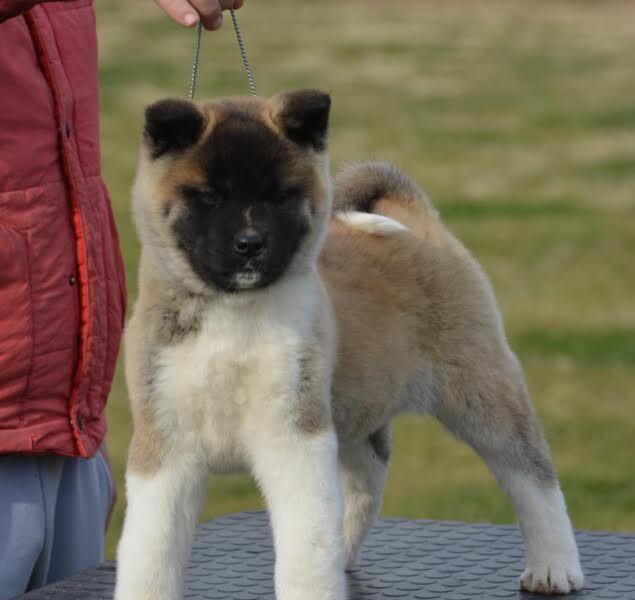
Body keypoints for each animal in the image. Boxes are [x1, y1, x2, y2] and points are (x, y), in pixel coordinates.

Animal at [115, 89, 588, 600]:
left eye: (279, 195)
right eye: (209, 197)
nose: (250, 243)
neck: (234, 313)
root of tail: (418, 218)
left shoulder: (295, 438)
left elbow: (305, 551)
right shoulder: (165, 451)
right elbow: (151, 554)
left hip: (481, 392)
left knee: (532, 478)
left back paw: (554, 566)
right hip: (359, 412)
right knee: (366, 481)